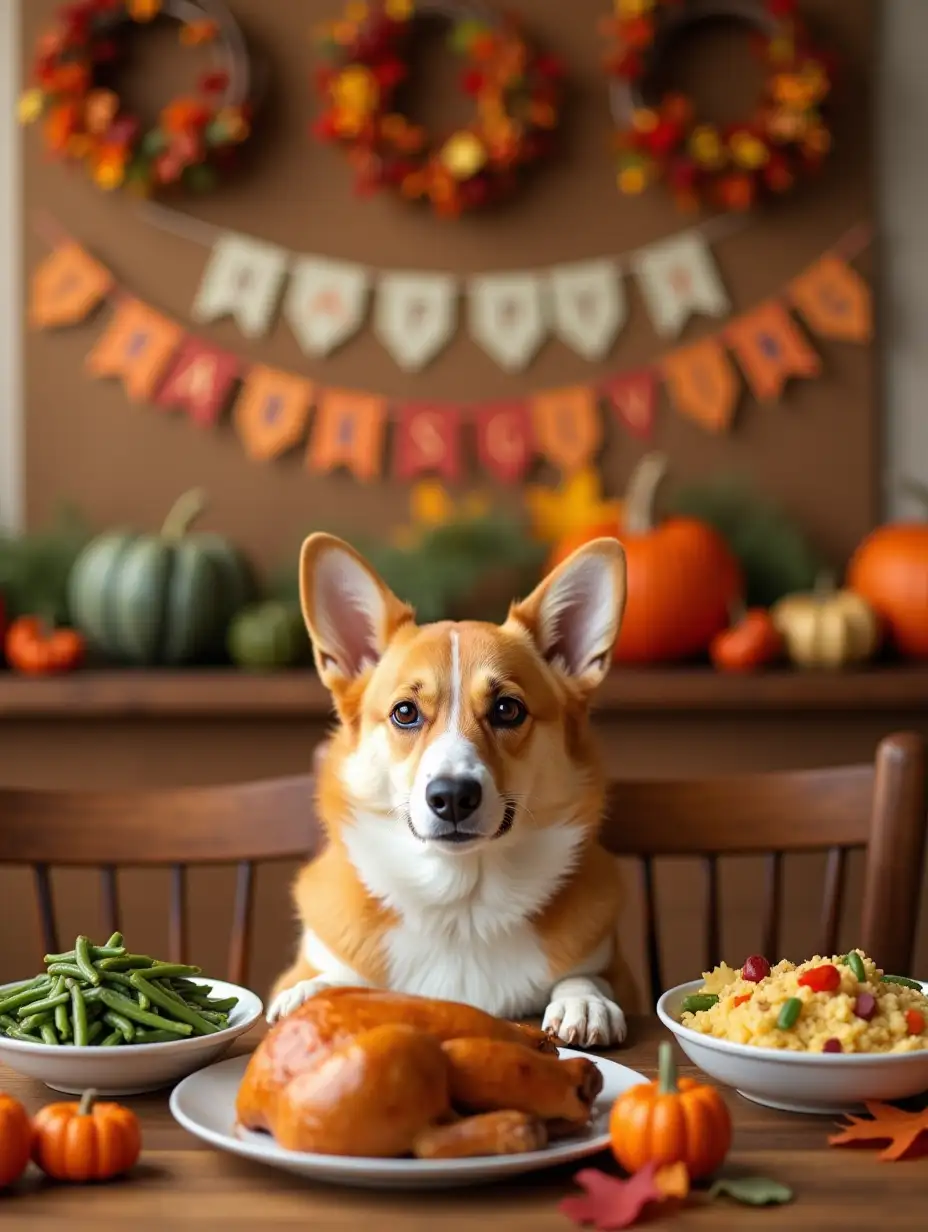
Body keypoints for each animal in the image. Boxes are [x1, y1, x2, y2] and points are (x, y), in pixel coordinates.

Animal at [263, 532, 635, 1049]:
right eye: (405, 712)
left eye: (507, 709)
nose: (452, 796)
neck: (461, 906)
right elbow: (323, 978)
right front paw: (310, 992)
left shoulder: (613, 966)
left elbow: (587, 977)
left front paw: (583, 1000)